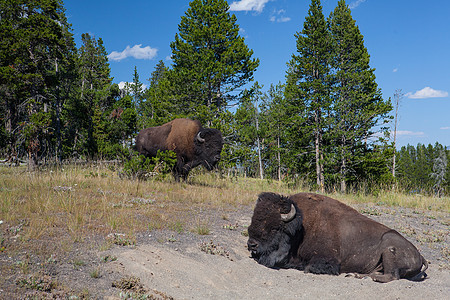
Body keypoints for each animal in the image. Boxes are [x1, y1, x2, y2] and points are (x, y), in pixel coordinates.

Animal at [248, 192, 428, 282]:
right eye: (253, 219)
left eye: (275, 228)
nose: (251, 245)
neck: (301, 228)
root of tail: (420, 256)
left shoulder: (327, 261)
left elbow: (308, 267)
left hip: (389, 248)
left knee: (392, 276)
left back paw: (358, 276)